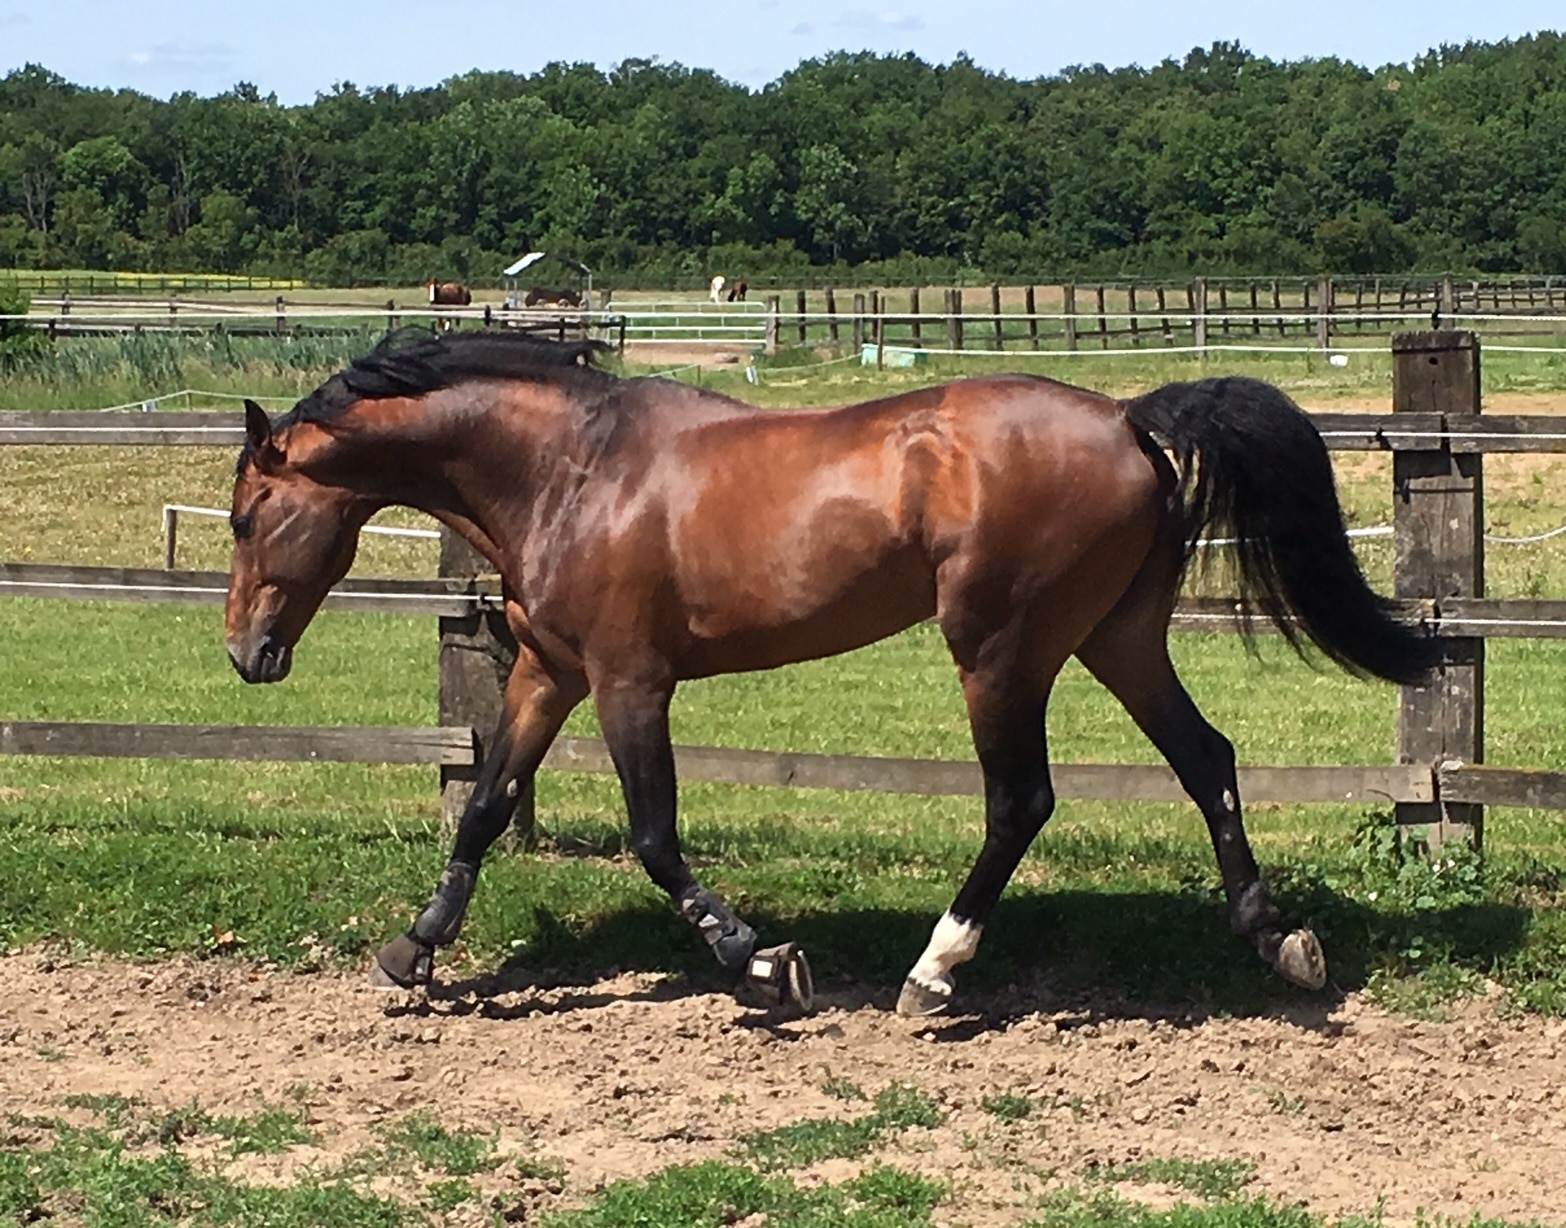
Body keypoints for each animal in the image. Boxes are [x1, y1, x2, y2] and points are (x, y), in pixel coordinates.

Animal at [227, 328, 1434, 1014]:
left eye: (246, 515)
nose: (246, 654)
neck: (572, 472)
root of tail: (1131, 420)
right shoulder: (547, 674)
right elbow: (483, 805)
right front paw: (413, 952)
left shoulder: (629, 681)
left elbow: (654, 835)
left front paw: (759, 961)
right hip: (1117, 638)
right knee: (1205, 757)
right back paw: (1277, 941)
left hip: (1000, 648)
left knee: (1022, 799)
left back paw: (933, 972)